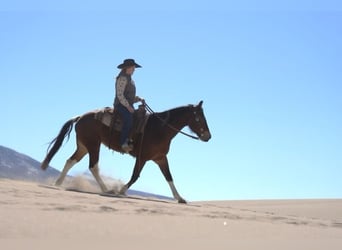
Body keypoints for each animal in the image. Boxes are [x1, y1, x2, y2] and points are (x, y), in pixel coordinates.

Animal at [40, 100, 211, 202]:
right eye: (199, 118)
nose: (208, 136)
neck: (160, 128)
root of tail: (80, 117)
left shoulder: (160, 158)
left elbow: (169, 177)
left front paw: (180, 198)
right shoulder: (142, 157)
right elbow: (135, 176)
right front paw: (121, 190)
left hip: (83, 146)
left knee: (71, 161)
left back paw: (58, 182)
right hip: (93, 145)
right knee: (93, 166)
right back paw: (107, 189)